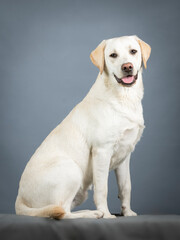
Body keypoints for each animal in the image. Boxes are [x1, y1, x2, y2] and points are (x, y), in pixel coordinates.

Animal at [15, 35, 150, 219]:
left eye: (133, 51)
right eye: (113, 55)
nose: (127, 67)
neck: (124, 97)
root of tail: (19, 199)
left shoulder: (125, 155)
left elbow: (126, 186)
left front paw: (127, 212)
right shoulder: (102, 151)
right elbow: (102, 189)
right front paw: (107, 214)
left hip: (79, 190)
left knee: (63, 209)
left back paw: (91, 212)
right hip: (72, 169)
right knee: (61, 212)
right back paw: (94, 214)